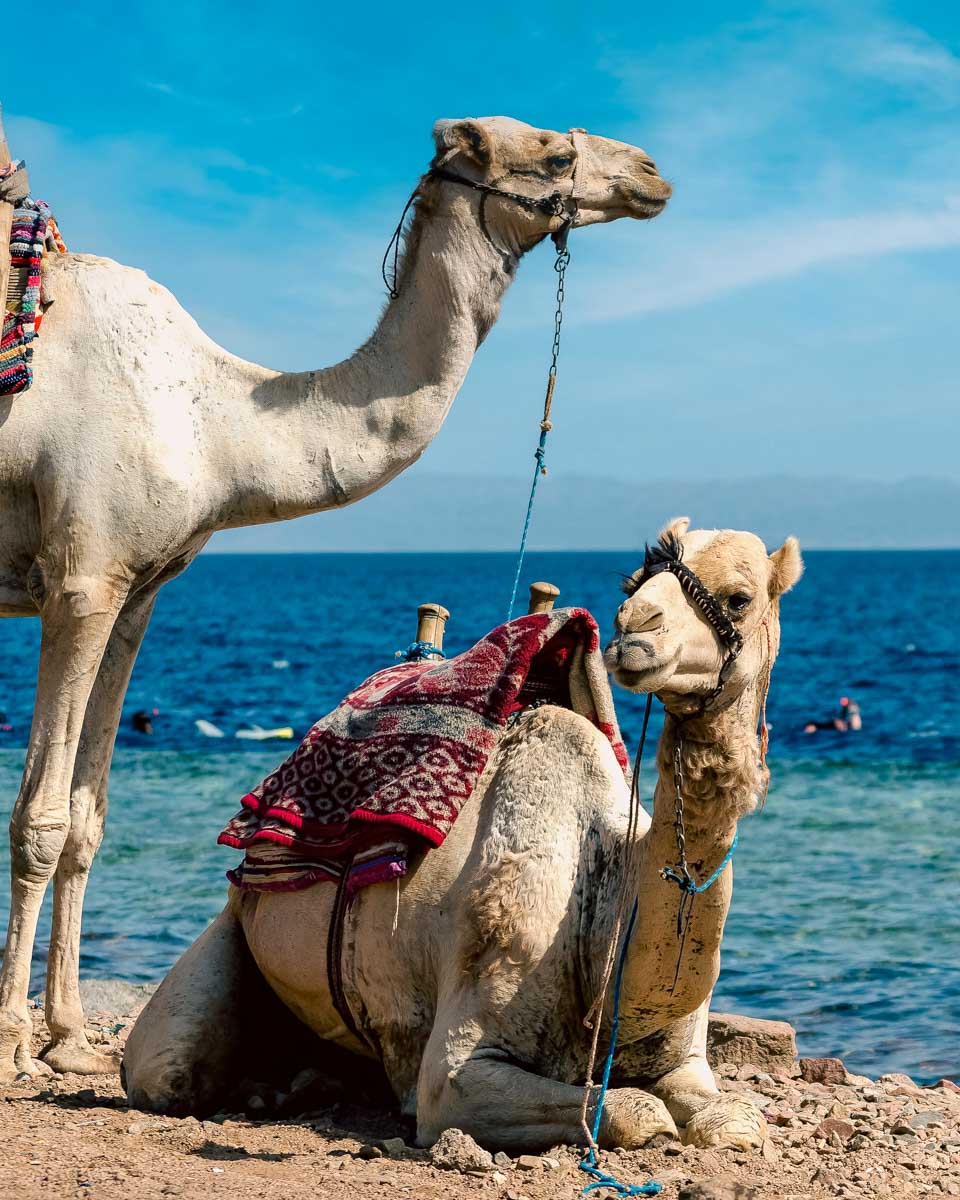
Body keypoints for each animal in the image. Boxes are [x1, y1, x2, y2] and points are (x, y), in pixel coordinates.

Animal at [0, 114, 671, 1084]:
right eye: (550, 150)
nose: (652, 172)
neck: (216, 425)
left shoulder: (137, 590)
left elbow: (87, 817)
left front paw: (66, 1036)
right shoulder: (80, 576)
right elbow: (39, 818)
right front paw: (14, 1040)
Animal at [122, 519, 803, 1153]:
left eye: (739, 597)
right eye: (633, 582)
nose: (635, 628)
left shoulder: (686, 1060)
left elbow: (731, 1120)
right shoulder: (458, 1071)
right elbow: (633, 1111)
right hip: (232, 928)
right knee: (164, 1069)